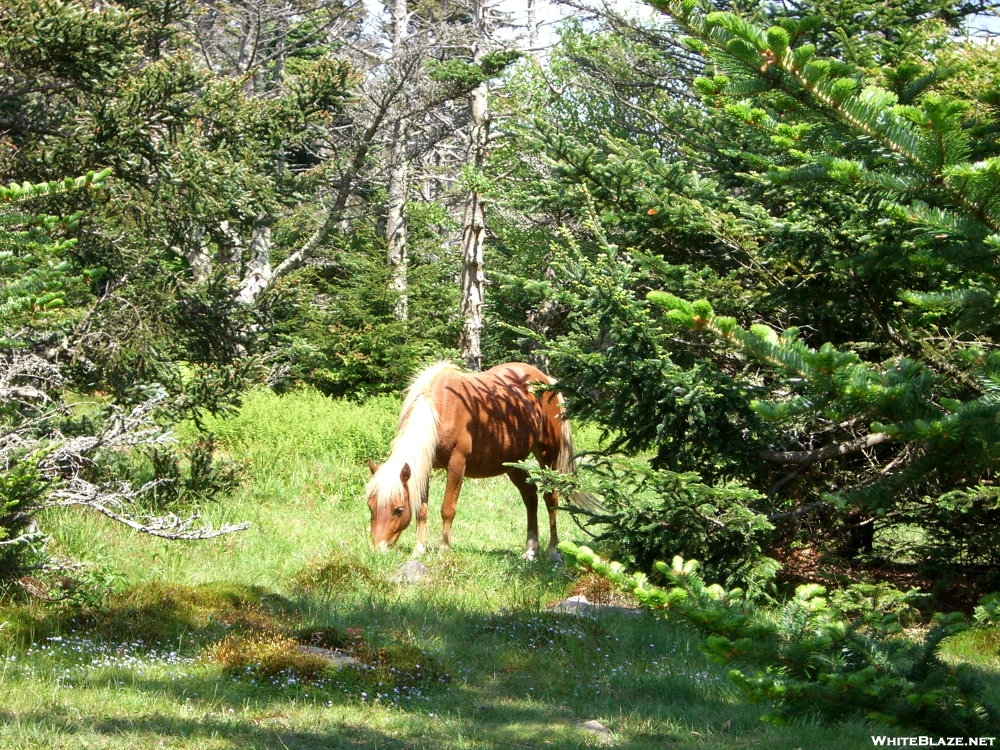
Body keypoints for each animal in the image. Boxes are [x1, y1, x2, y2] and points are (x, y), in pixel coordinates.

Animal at [364, 362, 576, 560]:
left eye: (398, 510)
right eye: (370, 506)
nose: (377, 549)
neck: (440, 407)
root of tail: (547, 381)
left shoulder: (457, 464)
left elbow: (447, 509)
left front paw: (444, 549)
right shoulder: (424, 467)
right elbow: (422, 510)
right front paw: (419, 550)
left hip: (548, 455)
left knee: (551, 498)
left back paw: (554, 552)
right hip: (513, 462)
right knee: (530, 496)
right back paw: (531, 550)